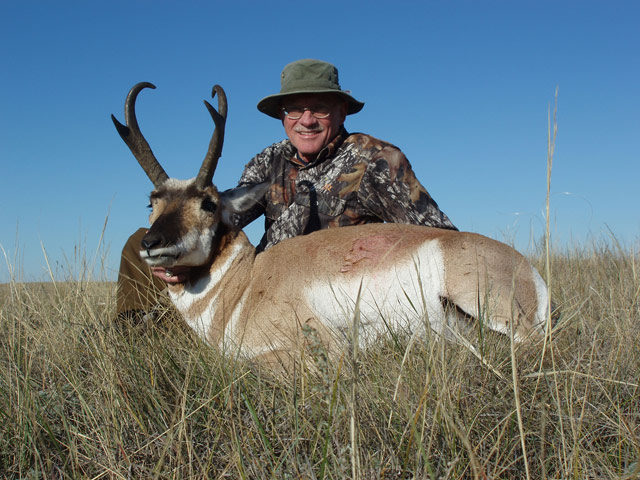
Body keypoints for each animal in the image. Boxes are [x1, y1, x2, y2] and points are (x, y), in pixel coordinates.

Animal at [112, 83, 548, 364]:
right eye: (151, 202)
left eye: (207, 202)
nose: (152, 243)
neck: (245, 284)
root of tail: (528, 269)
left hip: (484, 304)